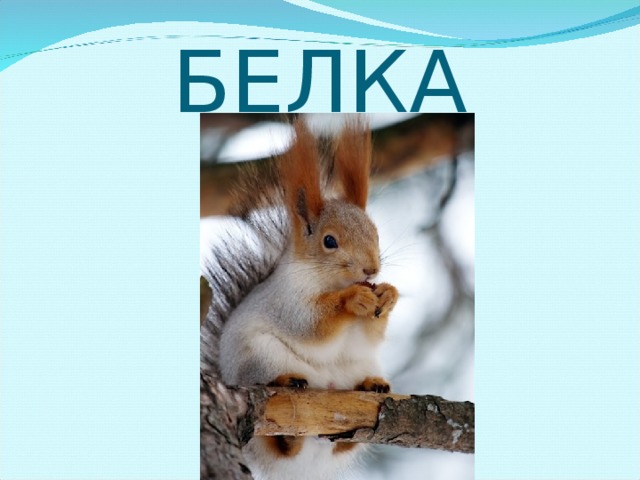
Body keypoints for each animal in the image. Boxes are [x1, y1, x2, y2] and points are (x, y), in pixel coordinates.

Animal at [202, 117, 399, 480]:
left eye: (375, 232)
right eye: (329, 241)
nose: (372, 268)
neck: (330, 280)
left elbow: (369, 334)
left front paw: (389, 294)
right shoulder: (288, 301)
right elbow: (312, 326)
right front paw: (352, 299)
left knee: (343, 444)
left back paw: (370, 386)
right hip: (261, 356)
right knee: (281, 443)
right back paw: (288, 399)